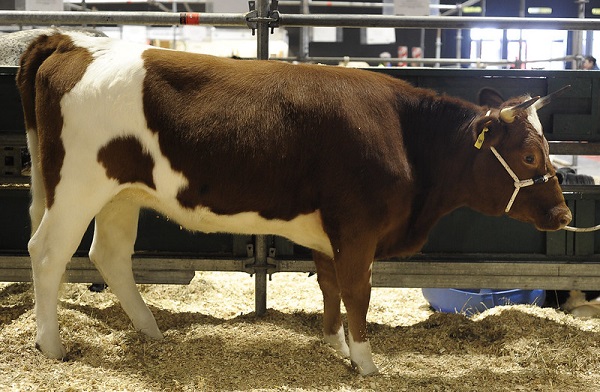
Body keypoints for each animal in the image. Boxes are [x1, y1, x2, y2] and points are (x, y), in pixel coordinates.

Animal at [15, 30, 572, 374]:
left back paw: (151, 332)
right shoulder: (358, 227)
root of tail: (71, 43)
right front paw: (366, 363)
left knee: (108, 254)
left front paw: (334, 344)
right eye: (528, 154)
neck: (405, 136)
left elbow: (329, 287)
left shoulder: (330, 231)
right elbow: (357, 293)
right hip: (77, 184)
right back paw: (52, 346)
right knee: (47, 251)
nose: (564, 213)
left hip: (120, 193)